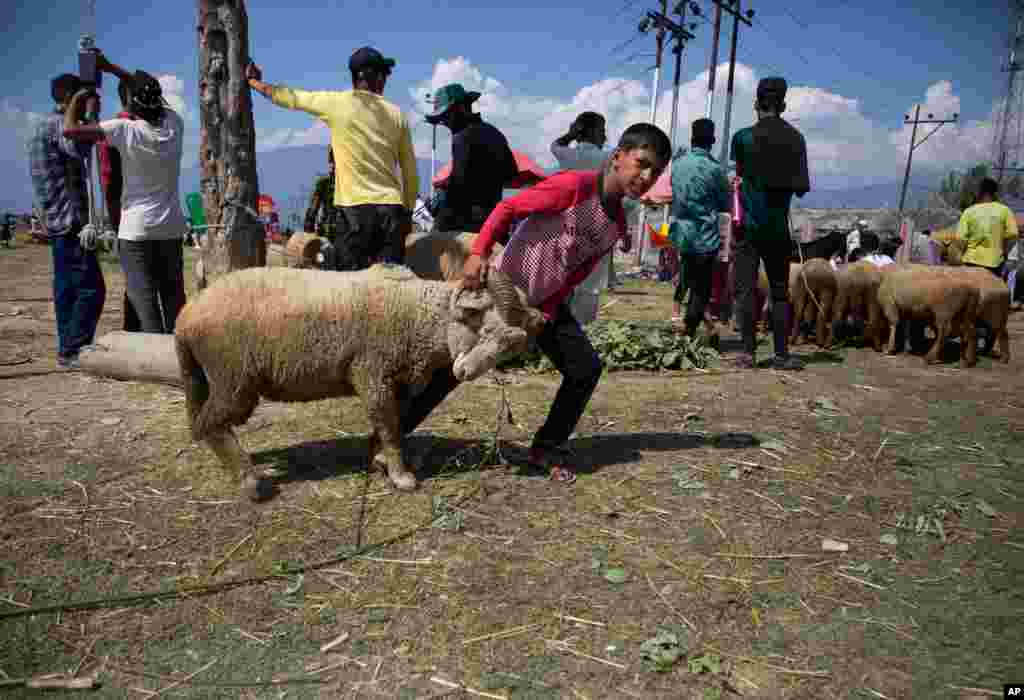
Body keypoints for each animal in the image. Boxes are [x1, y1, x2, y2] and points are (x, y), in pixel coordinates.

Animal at [175, 266, 544, 499]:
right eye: (484, 327)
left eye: (511, 347)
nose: (465, 372)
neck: (418, 316)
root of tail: (186, 316)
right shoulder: (372, 374)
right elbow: (390, 426)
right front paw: (401, 477)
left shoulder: (395, 381)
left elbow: (394, 425)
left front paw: (380, 460)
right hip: (233, 378)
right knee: (212, 423)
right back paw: (250, 482)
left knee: (203, 423)